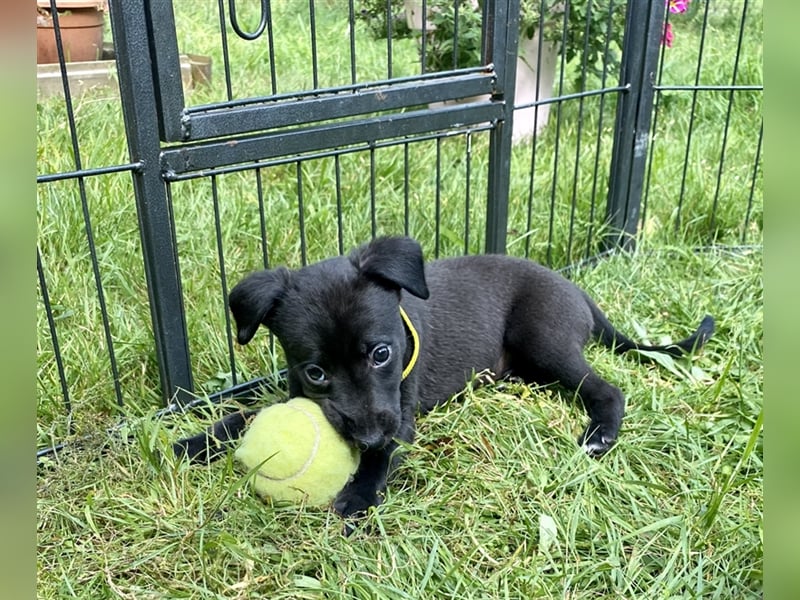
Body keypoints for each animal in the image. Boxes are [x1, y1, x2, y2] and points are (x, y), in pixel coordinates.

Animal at [175, 239, 712, 520]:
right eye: (316, 372)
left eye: (382, 354)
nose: (367, 437)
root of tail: (577, 290)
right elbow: (246, 413)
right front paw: (196, 441)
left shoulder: (400, 414)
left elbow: (384, 456)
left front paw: (359, 493)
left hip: (543, 338)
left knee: (607, 389)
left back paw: (600, 433)